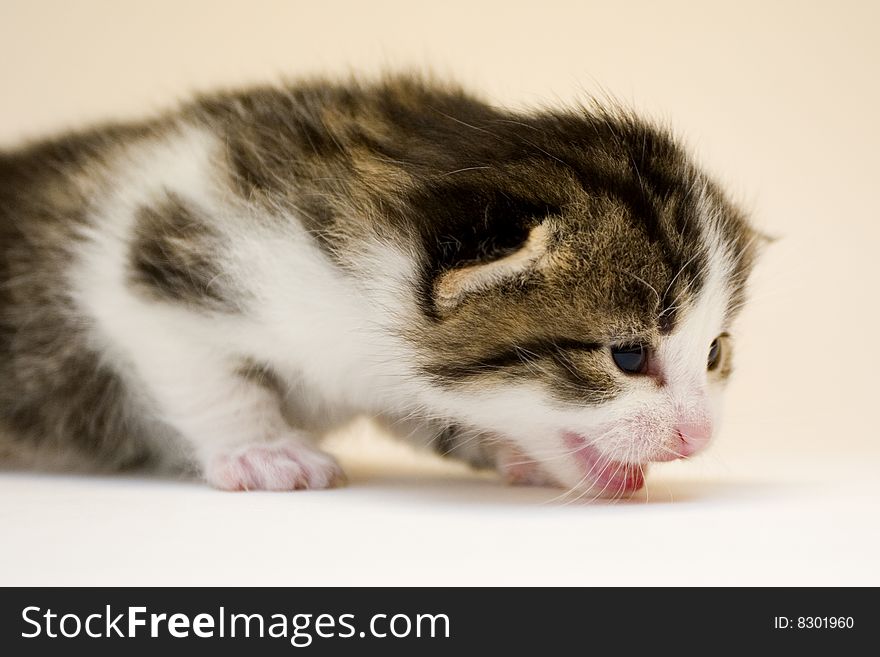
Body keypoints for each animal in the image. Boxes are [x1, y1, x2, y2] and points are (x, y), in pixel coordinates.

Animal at [0, 75, 756, 492]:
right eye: (626, 355)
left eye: (715, 352)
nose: (698, 437)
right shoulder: (147, 255)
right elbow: (207, 375)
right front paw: (263, 450)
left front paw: (507, 447)